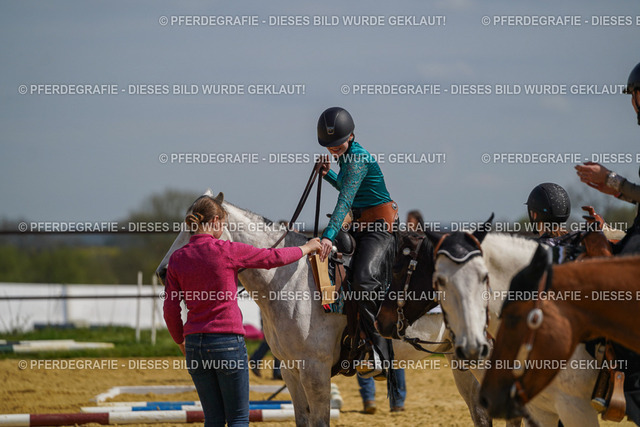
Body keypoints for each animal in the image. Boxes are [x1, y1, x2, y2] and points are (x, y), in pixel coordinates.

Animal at [156, 190, 487, 426]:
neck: (290, 280)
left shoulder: (314, 371)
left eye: (192, 229)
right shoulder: (291, 370)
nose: (163, 272)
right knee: (479, 409)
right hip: (458, 359)